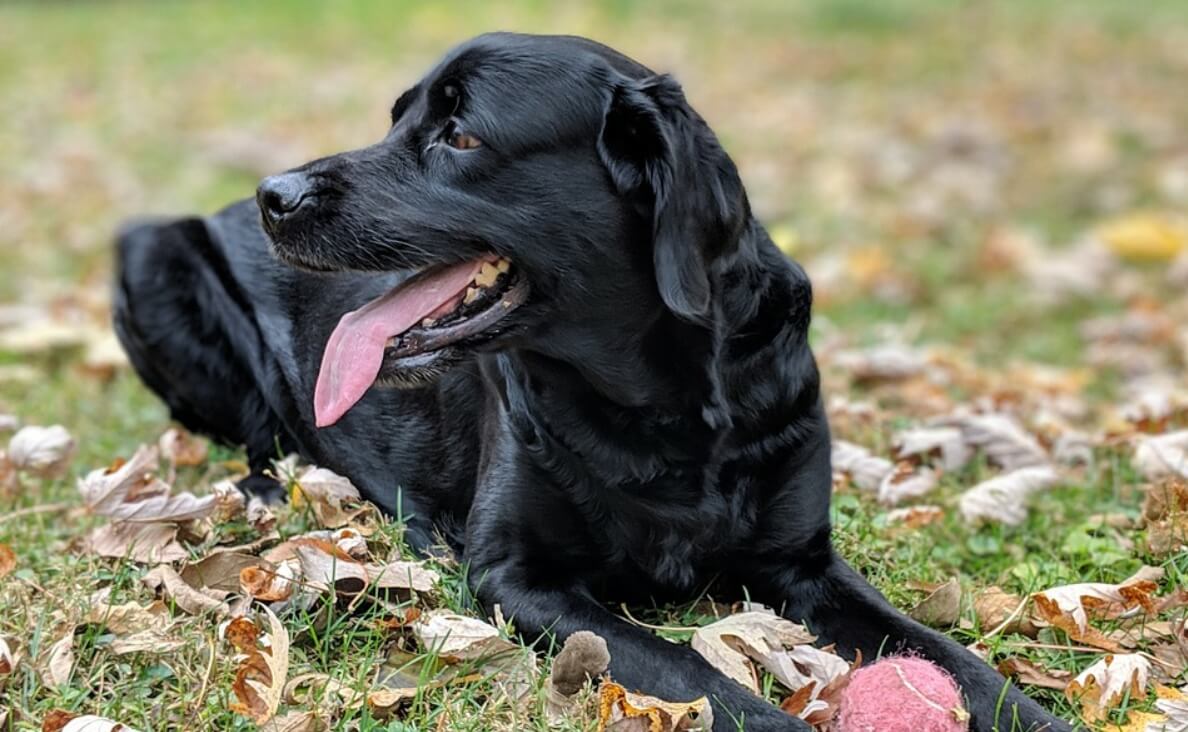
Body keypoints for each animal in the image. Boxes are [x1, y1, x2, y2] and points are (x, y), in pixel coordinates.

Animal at [115, 32, 1073, 727]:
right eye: (397, 122)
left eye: (460, 133)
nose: (273, 194)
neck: (665, 410)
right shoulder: (520, 577)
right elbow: (697, 674)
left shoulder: (804, 563)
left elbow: (952, 658)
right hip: (151, 251)